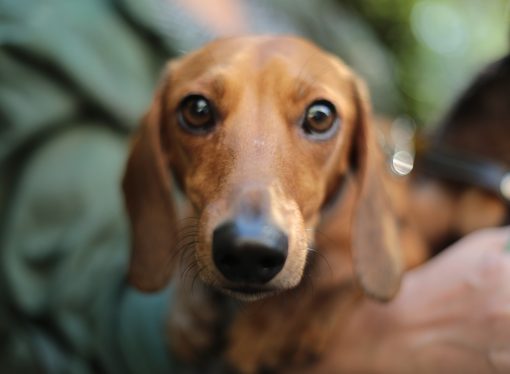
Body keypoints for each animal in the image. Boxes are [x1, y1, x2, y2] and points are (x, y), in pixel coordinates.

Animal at [121, 34, 424, 372]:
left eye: (320, 116)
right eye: (197, 109)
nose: (248, 252)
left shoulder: (410, 247)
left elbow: (334, 282)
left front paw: (274, 325)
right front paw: (188, 313)